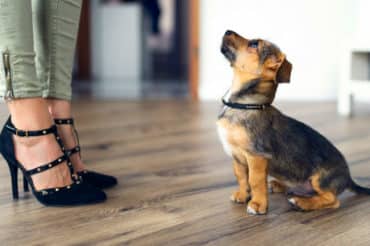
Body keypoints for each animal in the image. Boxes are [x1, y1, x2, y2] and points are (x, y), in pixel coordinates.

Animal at [217, 30, 370, 215]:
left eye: (254, 44)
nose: (227, 31)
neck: (244, 105)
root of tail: (348, 178)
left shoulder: (257, 156)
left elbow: (255, 180)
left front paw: (258, 204)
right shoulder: (236, 155)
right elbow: (241, 176)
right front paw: (242, 195)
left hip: (320, 179)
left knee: (332, 200)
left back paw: (301, 203)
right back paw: (279, 186)